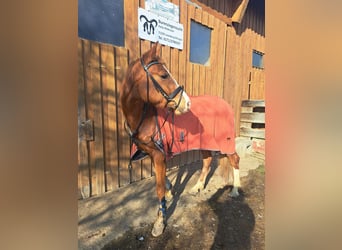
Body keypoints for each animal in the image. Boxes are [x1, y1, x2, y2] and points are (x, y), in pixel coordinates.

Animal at [120, 43, 240, 236]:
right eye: (164, 75)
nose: (187, 103)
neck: (145, 118)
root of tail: (225, 103)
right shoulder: (154, 153)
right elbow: (161, 178)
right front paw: (170, 193)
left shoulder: (158, 154)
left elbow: (158, 187)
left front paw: (160, 221)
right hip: (204, 142)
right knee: (207, 161)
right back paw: (197, 187)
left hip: (225, 141)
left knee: (234, 159)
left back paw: (235, 190)